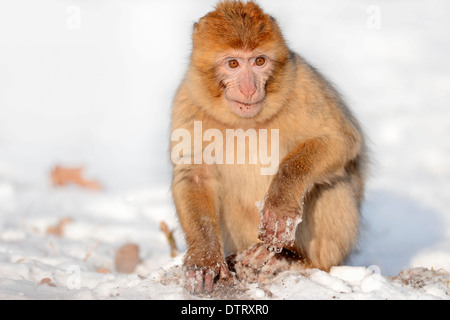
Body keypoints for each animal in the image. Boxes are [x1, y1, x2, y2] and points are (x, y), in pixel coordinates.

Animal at [169, 0, 366, 294]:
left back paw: (288, 258)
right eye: (233, 63)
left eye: (259, 61)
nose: (249, 89)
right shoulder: (188, 101)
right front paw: (204, 258)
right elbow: (194, 176)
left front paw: (280, 201)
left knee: (332, 186)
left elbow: (339, 141)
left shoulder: (303, 82)